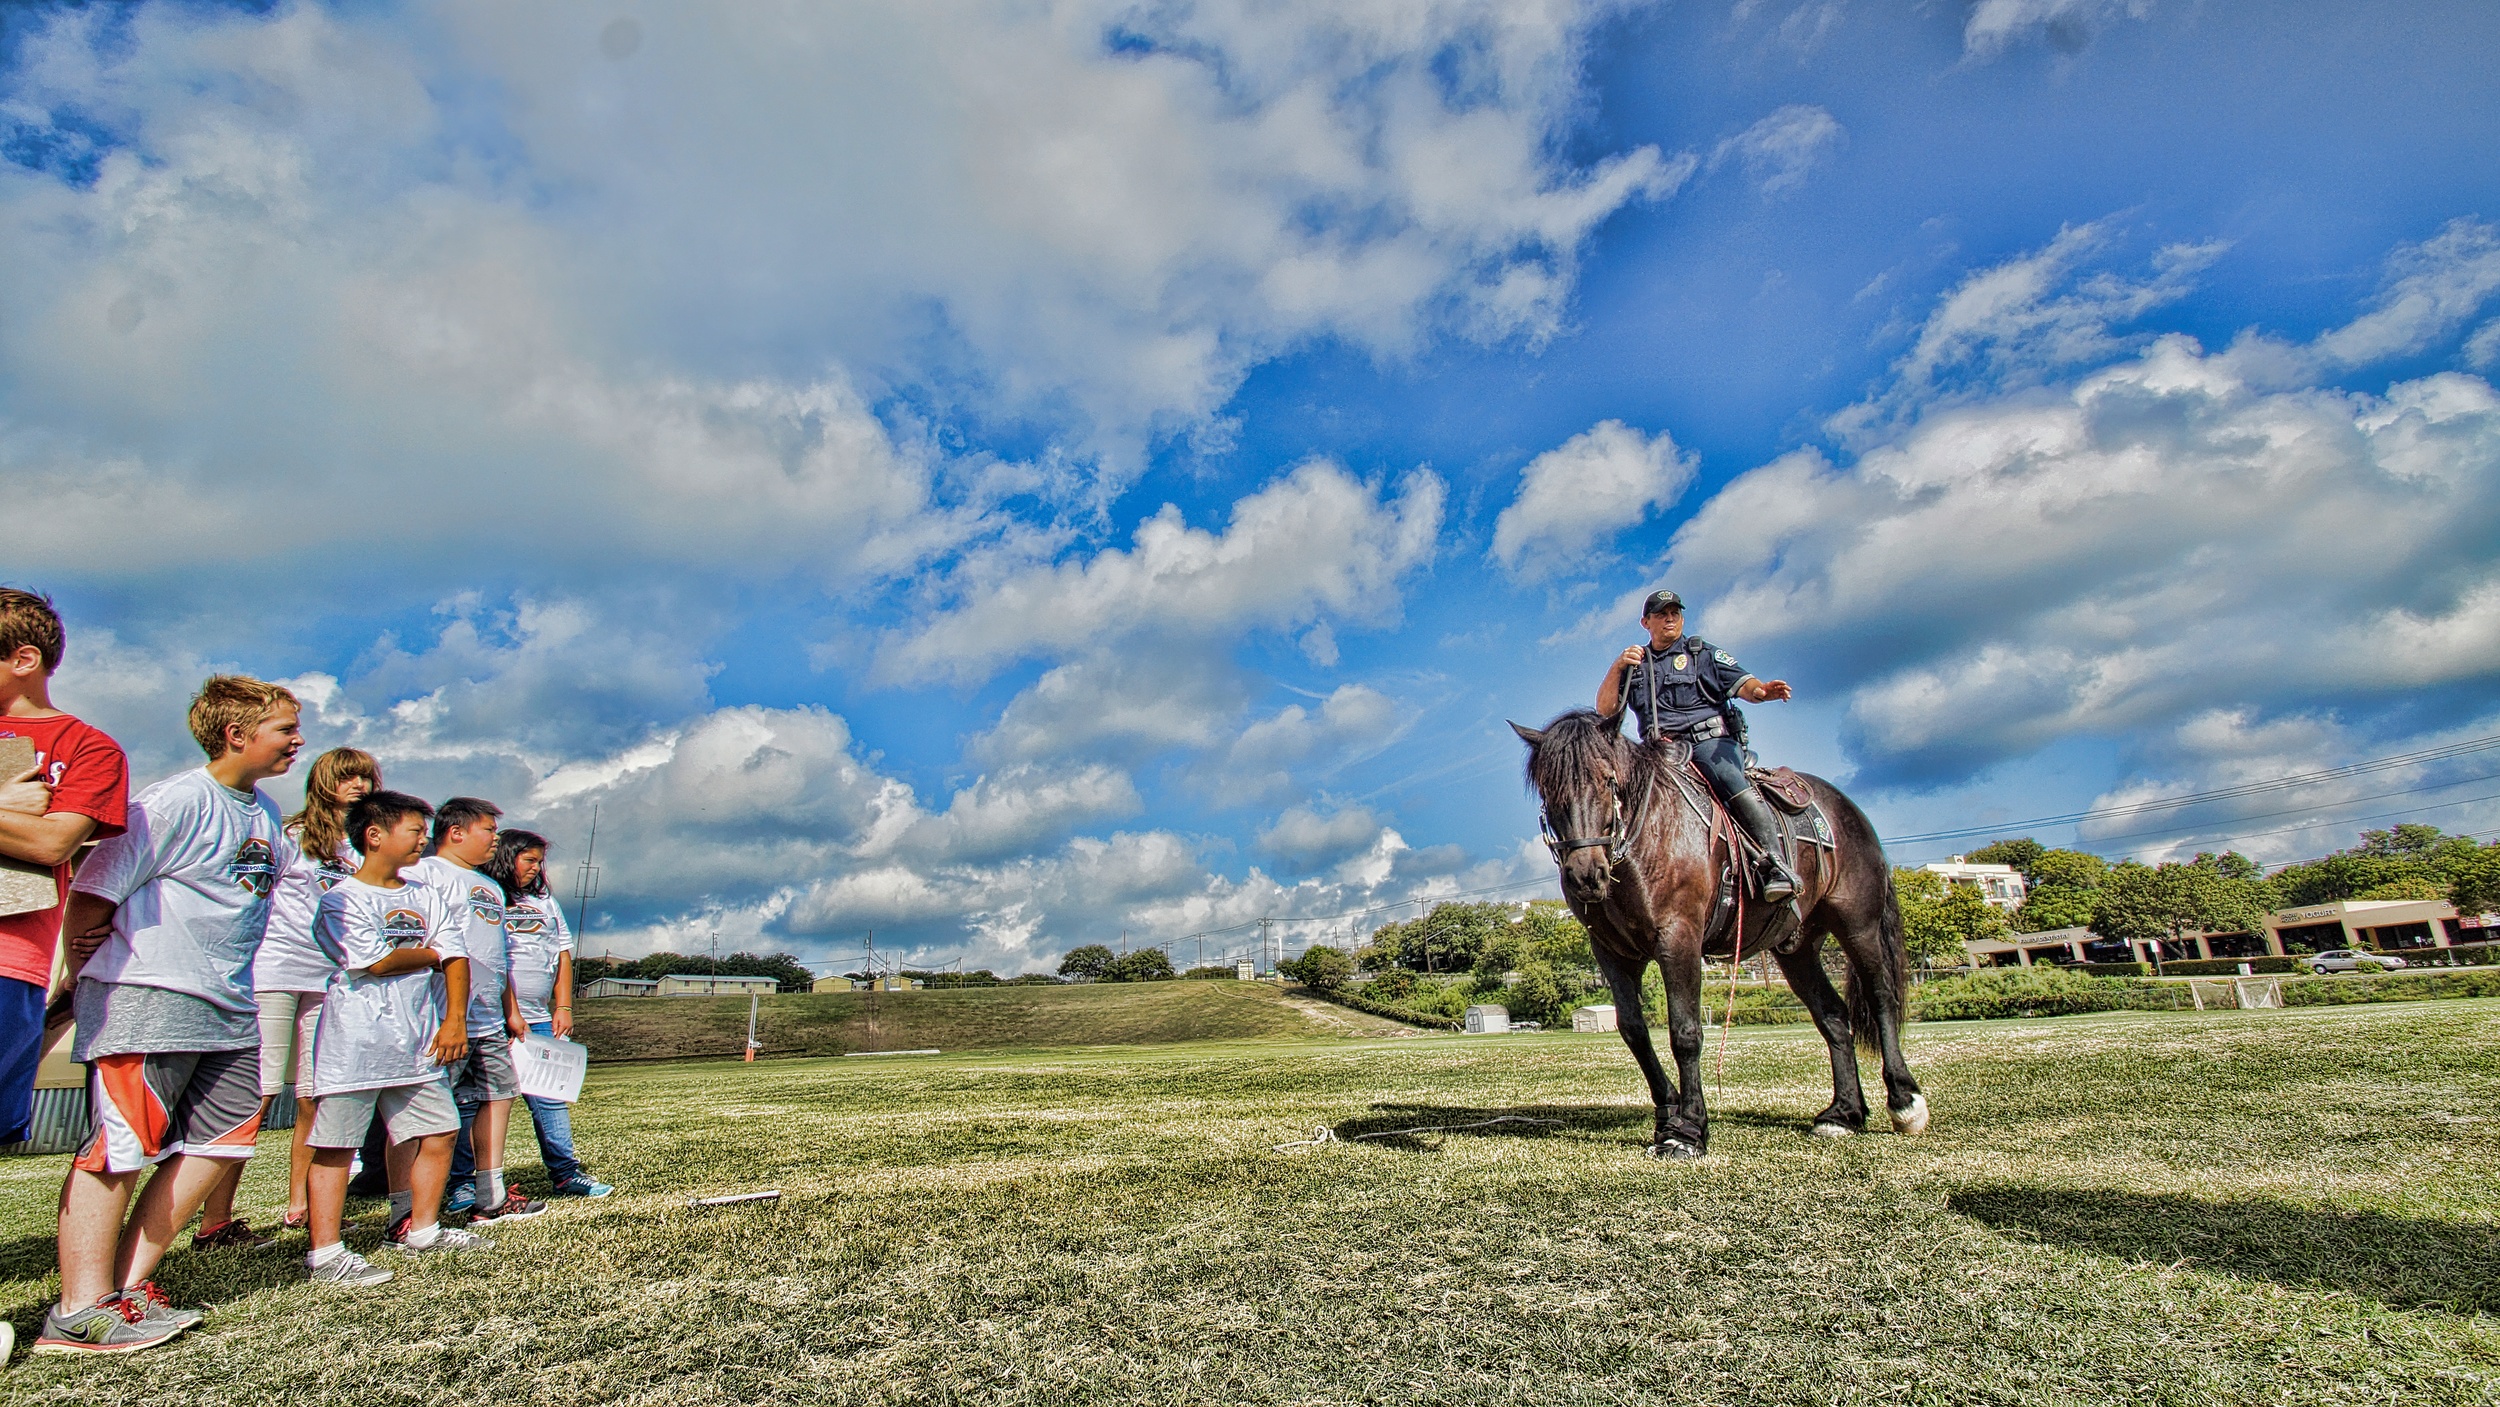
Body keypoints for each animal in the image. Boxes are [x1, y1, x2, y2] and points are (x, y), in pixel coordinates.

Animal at [1510, 709, 1920, 1159]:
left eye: (1608, 780)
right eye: (1549, 790)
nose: (1585, 875)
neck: (1643, 841)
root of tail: (1847, 808)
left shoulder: (1679, 937)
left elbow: (1685, 1032)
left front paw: (1688, 1129)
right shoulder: (1612, 951)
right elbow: (1634, 1030)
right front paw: (1667, 1111)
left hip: (1858, 924)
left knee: (1881, 996)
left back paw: (1904, 1099)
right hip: (1797, 948)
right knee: (1833, 1015)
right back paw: (1843, 1113)